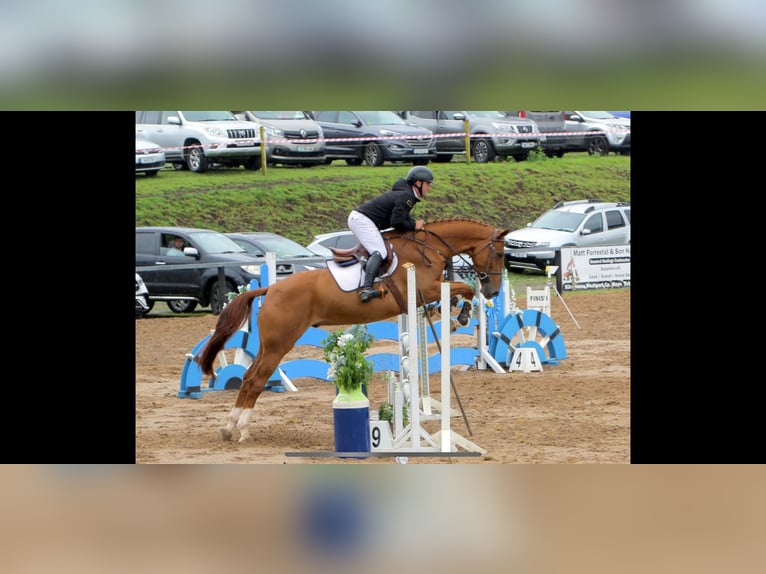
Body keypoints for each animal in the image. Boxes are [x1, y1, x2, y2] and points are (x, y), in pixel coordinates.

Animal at [196, 218, 510, 444]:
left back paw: (229, 427)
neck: (430, 247)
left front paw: (451, 311)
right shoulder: (426, 288)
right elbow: (465, 288)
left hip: (269, 344)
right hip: (280, 343)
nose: (494, 290)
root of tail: (271, 288)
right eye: (499, 252)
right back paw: (242, 429)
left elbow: (459, 291)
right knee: (255, 380)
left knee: (249, 376)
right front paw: (462, 315)